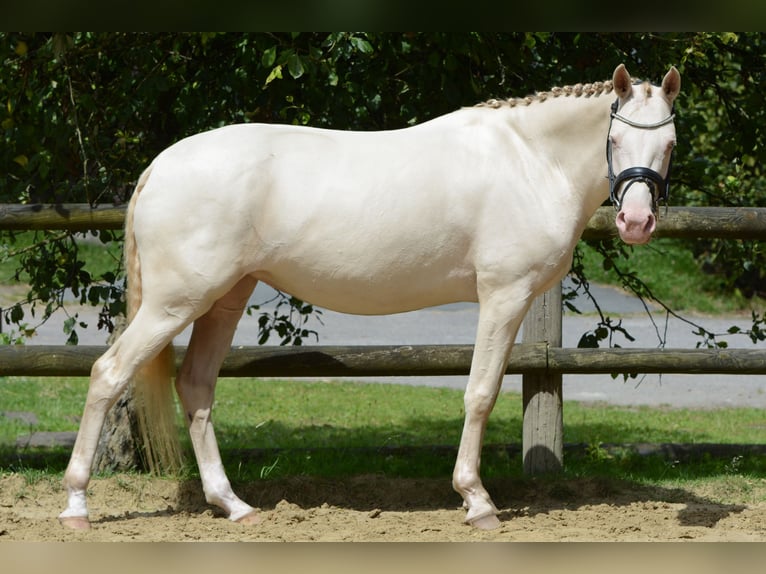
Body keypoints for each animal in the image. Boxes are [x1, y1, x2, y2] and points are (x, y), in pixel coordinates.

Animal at [61, 63, 684, 532]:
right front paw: (476, 501)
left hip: (224, 299)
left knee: (195, 387)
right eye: (616, 138)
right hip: (174, 303)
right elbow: (480, 393)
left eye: (670, 144)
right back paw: (76, 506)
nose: (635, 222)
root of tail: (161, 165)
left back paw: (233, 505)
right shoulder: (504, 296)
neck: (530, 158)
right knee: (109, 373)